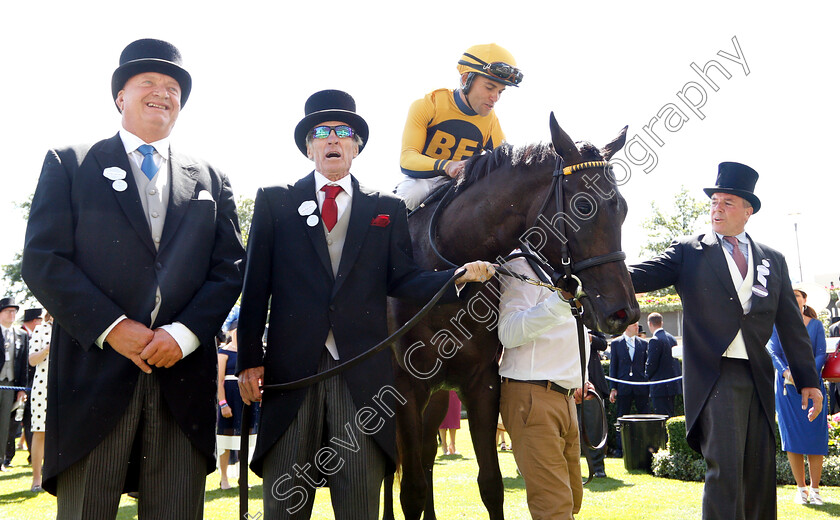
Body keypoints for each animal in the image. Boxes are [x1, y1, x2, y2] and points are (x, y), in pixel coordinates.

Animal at [384, 115, 640, 520]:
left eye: (623, 209)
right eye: (584, 206)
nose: (624, 312)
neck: (447, 278)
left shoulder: (482, 383)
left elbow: (490, 485)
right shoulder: (405, 389)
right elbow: (409, 490)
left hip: (439, 397)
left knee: (425, 456)